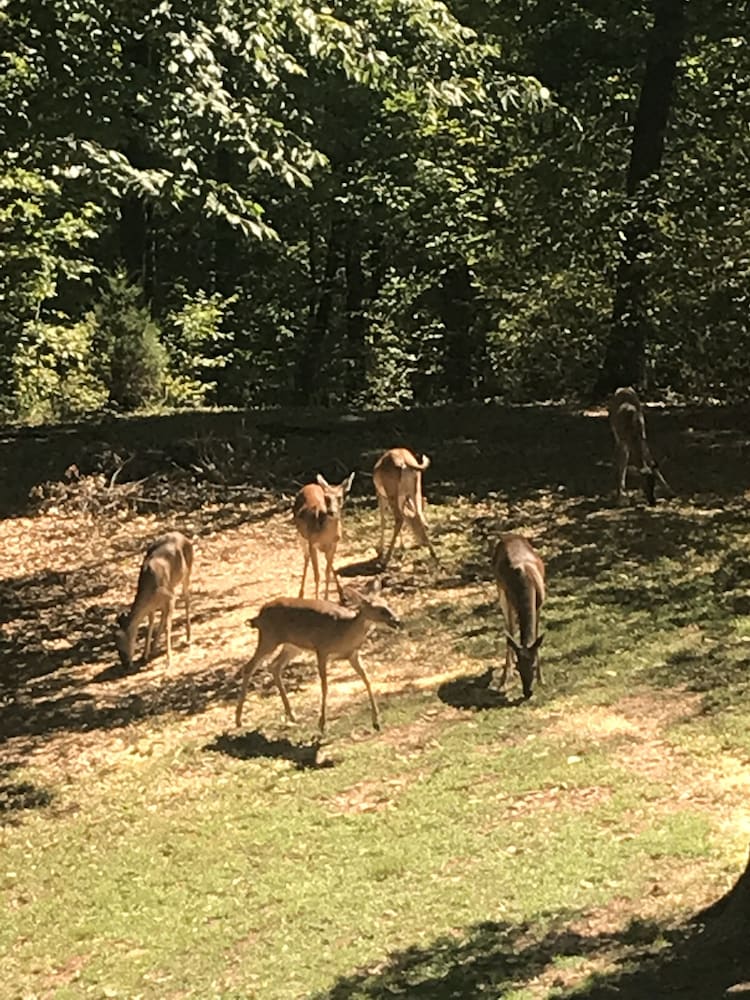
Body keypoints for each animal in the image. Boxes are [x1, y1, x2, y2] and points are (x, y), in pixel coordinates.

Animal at [235, 584, 402, 736]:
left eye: (388, 603)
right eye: (380, 609)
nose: (397, 620)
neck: (343, 631)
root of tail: (259, 615)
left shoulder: (352, 654)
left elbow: (367, 679)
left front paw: (376, 722)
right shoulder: (322, 650)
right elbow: (324, 686)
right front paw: (322, 725)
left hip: (293, 646)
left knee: (275, 666)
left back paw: (292, 715)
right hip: (269, 638)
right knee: (249, 667)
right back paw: (238, 720)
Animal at [294, 470, 356, 600]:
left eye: (340, 497)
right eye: (326, 498)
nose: (331, 512)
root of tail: (310, 485)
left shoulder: (334, 544)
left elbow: (327, 572)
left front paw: (326, 598)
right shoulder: (312, 543)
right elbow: (317, 574)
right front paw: (317, 599)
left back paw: (341, 593)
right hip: (301, 535)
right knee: (306, 558)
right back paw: (301, 593)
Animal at [494, 532, 548, 704]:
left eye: (533, 666)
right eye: (519, 667)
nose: (527, 692)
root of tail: (509, 535)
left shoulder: (540, 604)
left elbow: (536, 637)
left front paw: (541, 679)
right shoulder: (511, 600)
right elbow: (511, 633)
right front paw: (506, 677)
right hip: (500, 591)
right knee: (509, 628)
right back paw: (505, 677)